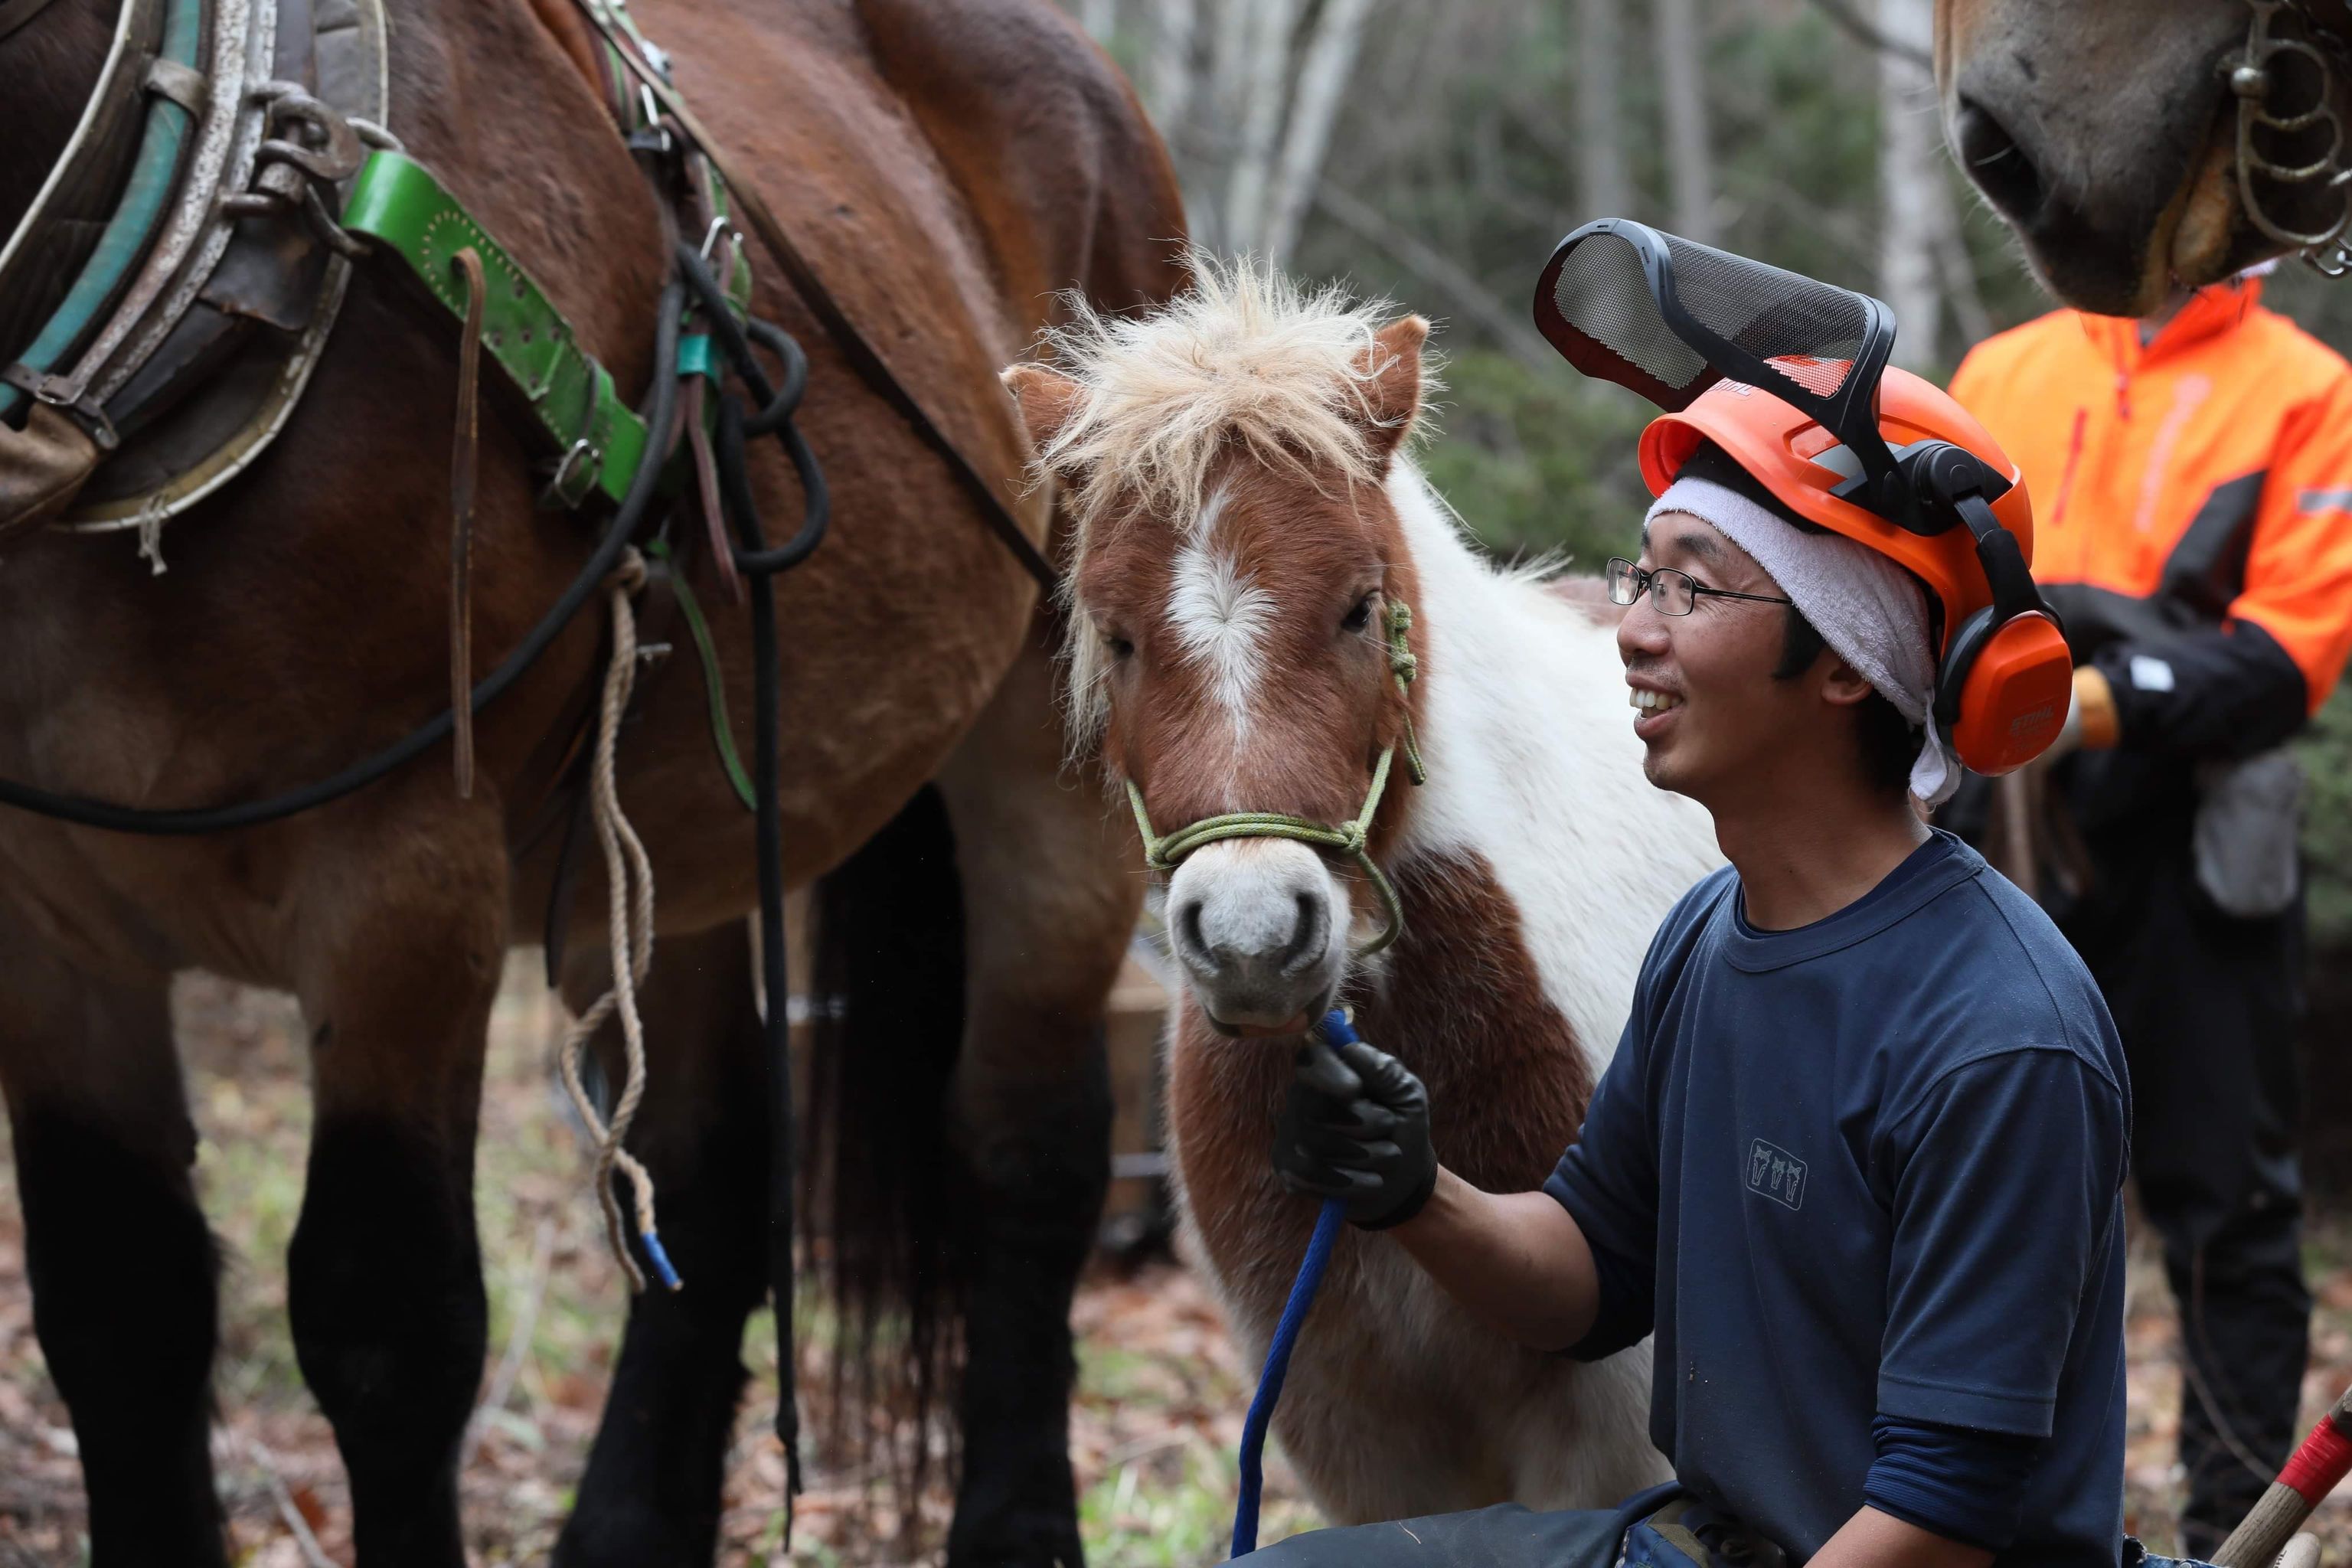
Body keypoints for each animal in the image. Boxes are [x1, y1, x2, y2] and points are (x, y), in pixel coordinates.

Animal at [0, 3, 1176, 1568]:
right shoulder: (46, 918)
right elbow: (118, 1310)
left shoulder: (403, 882)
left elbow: (389, 1325)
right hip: (682, 824)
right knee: (714, 1182)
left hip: (1054, 746)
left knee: (1027, 1149)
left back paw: (1018, 1521)